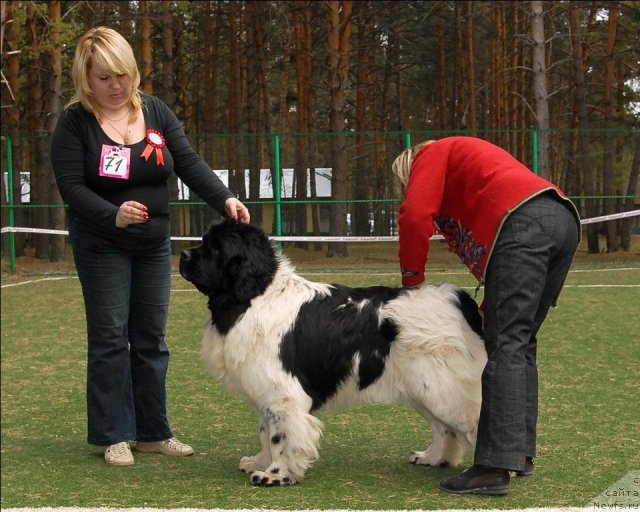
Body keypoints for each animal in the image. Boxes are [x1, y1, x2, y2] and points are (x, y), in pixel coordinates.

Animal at [180, 218, 484, 486]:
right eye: (204, 241)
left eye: (216, 249)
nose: (183, 254)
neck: (256, 295)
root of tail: (459, 299)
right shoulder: (267, 391)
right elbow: (265, 431)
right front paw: (260, 462)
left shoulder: (283, 392)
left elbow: (281, 435)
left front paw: (276, 474)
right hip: (425, 387)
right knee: (444, 428)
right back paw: (434, 457)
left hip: (444, 387)